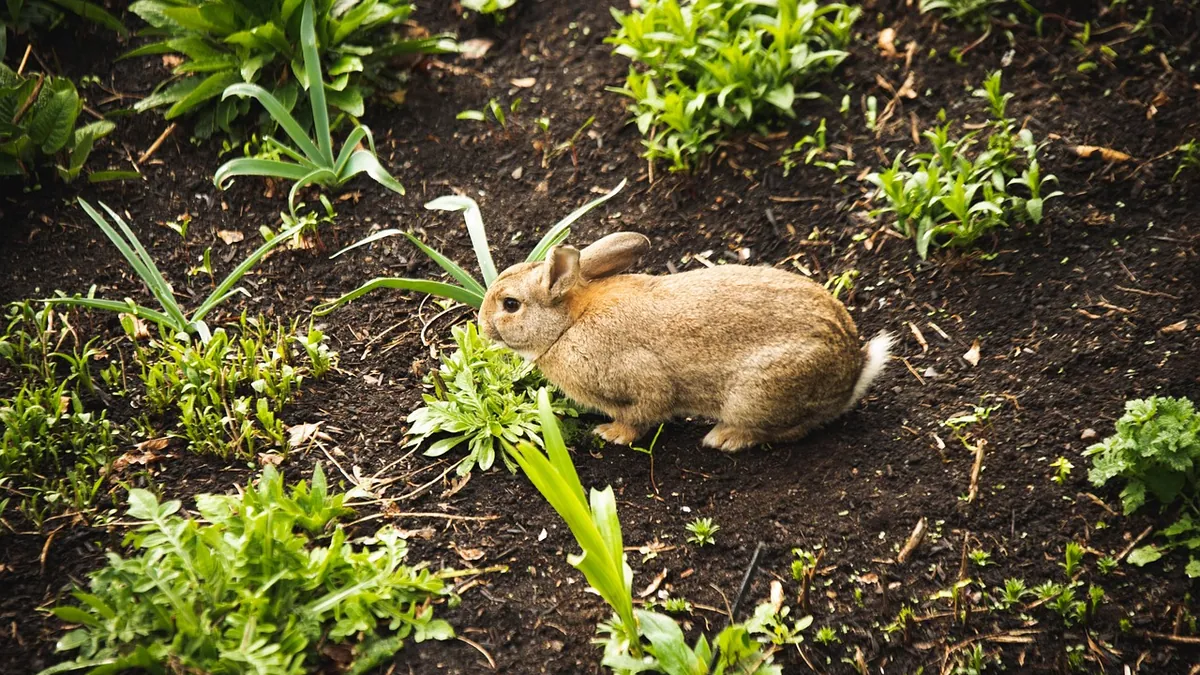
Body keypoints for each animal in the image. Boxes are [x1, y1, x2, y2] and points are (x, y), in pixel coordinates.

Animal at [478, 232, 894, 452]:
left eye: (510, 305)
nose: (481, 326)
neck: (568, 323)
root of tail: (851, 373)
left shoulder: (642, 379)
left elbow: (643, 413)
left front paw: (611, 434)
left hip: (758, 392)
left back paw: (722, 438)